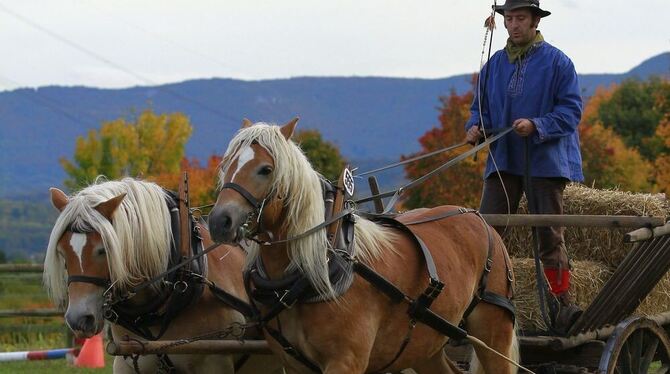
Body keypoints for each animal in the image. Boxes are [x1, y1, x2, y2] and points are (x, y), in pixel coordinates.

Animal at [209, 118, 520, 372]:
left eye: (266, 169)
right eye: (226, 165)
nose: (219, 221)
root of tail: (478, 218)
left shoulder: (346, 362)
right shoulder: (295, 365)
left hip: (493, 333)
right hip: (426, 344)